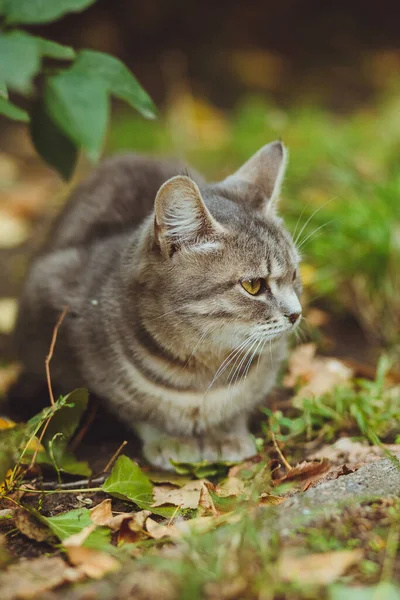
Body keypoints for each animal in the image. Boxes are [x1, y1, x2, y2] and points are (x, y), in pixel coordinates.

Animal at [14, 141, 304, 468]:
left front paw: (225, 434)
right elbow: (139, 410)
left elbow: (239, 405)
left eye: (294, 275)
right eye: (253, 285)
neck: (201, 373)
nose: (296, 314)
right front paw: (171, 439)